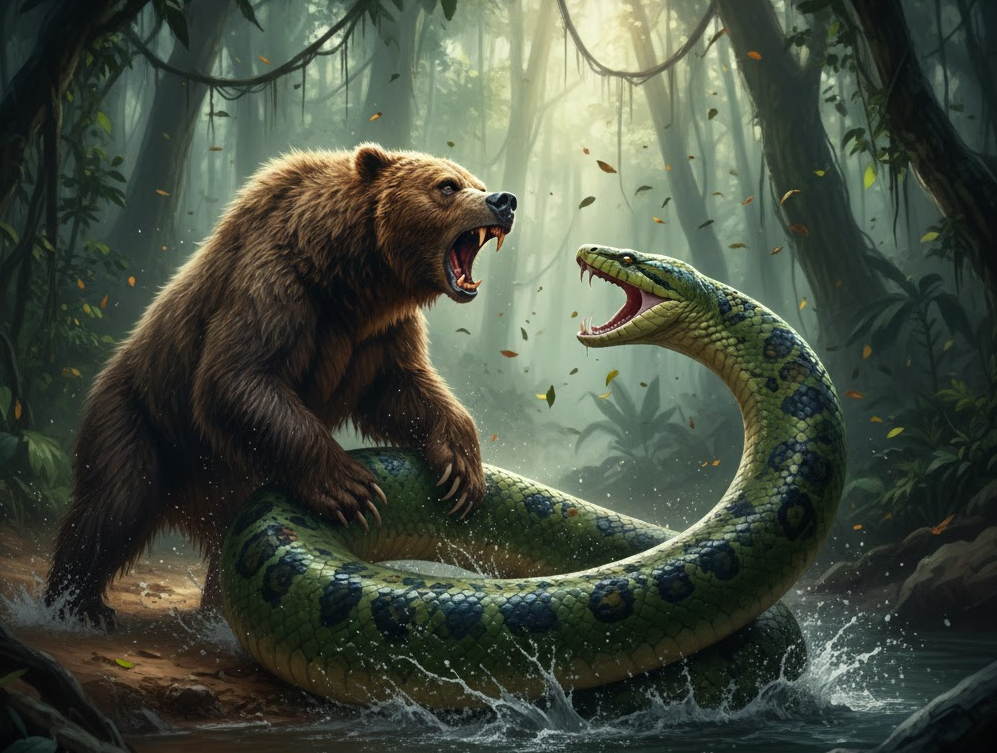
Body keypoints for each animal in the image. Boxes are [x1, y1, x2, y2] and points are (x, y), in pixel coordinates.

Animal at [45, 144, 517, 627]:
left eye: (477, 182)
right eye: (447, 185)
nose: (504, 200)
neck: (353, 278)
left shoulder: (381, 332)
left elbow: (402, 390)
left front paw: (461, 469)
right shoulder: (276, 283)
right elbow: (238, 377)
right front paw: (351, 487)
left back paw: (215, 613)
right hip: (142, 414)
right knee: (115, 503)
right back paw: (77, 604)